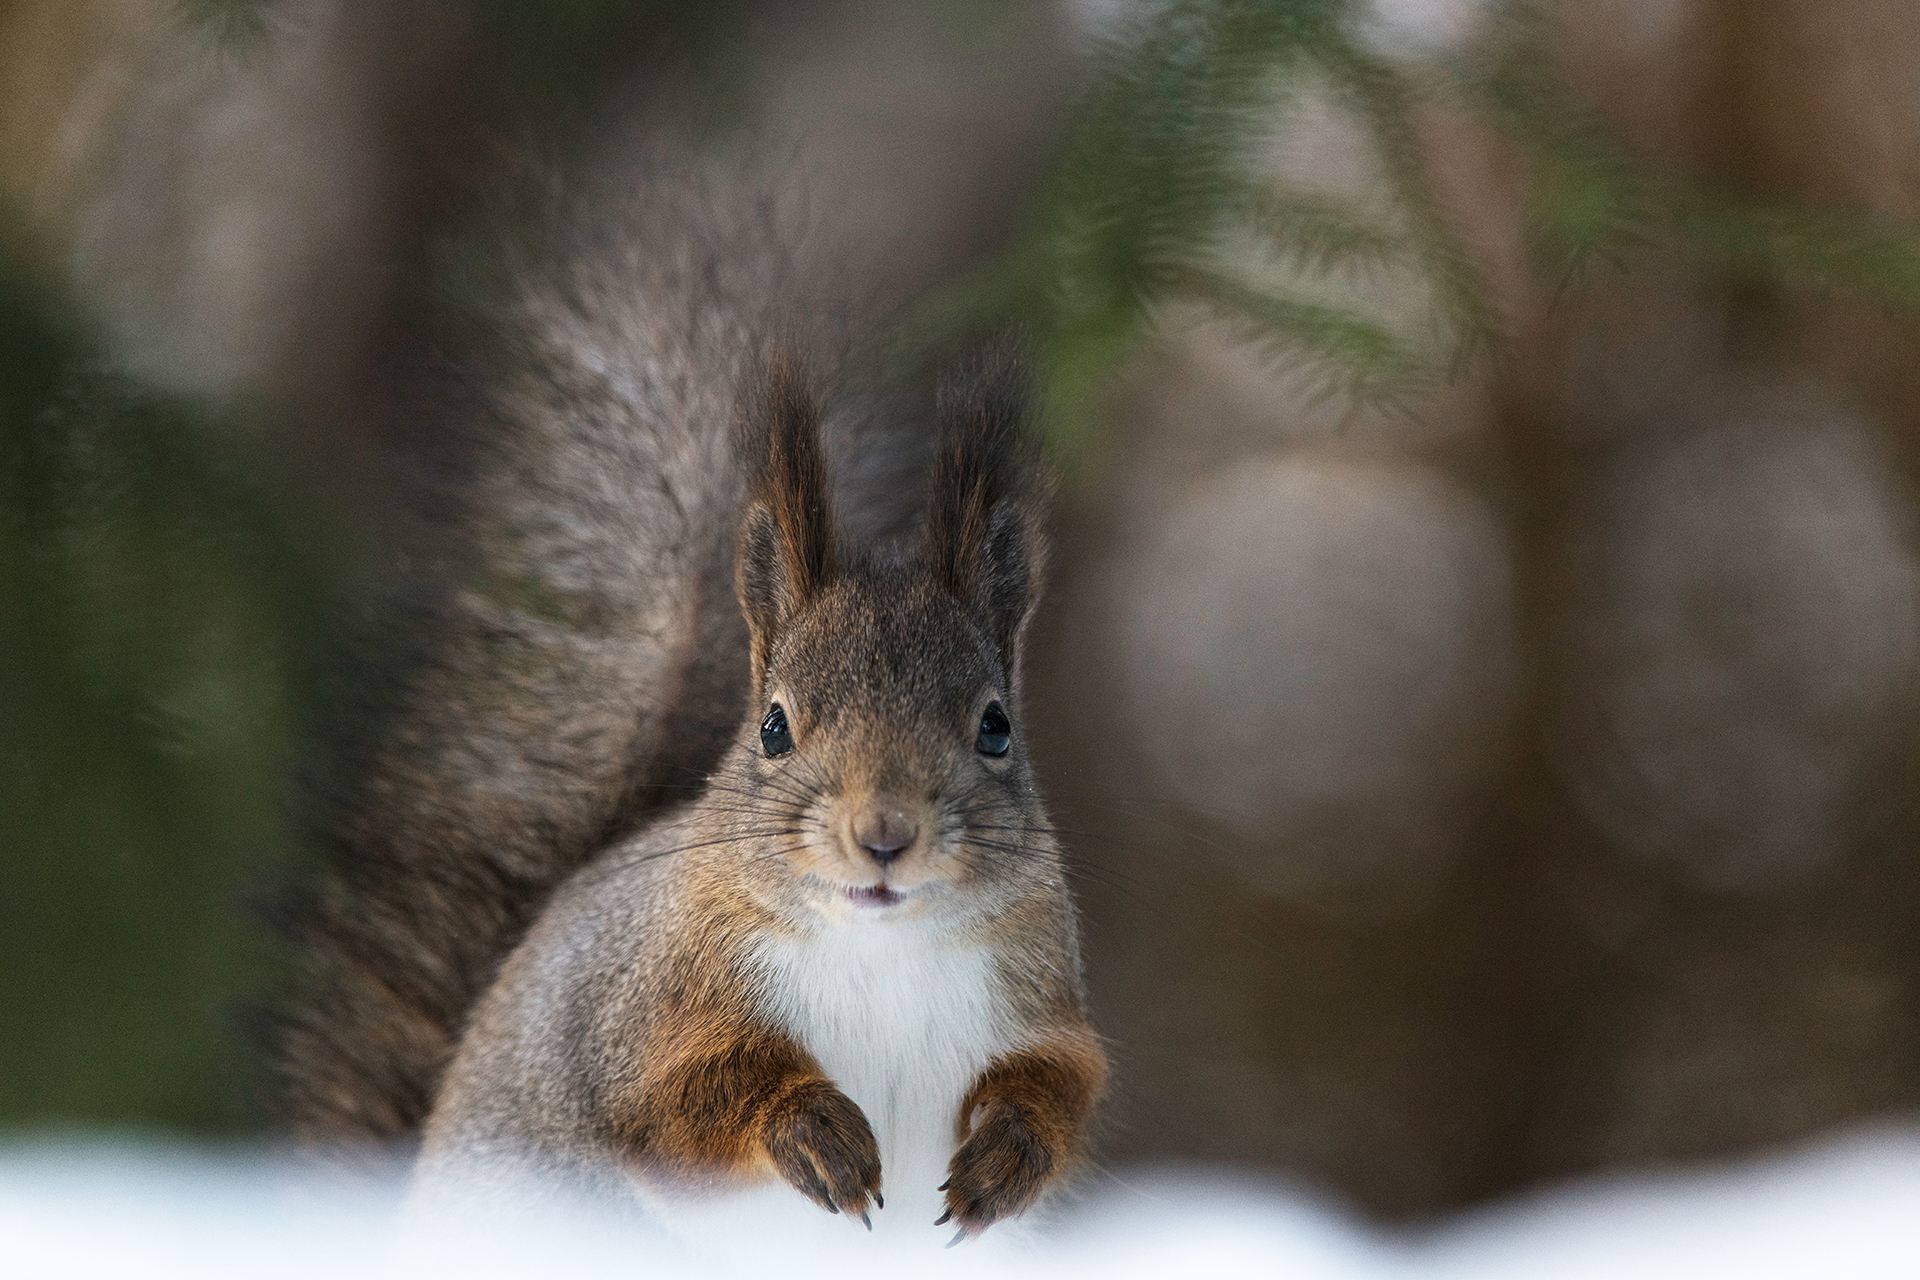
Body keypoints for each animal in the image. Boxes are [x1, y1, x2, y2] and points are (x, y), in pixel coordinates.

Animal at [276, 147, 1105, 1243]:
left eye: (997, 727)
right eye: (775, 727)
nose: (884, 835)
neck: (879, 948)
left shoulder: (1042, 992)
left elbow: (1061, 1082)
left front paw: (1008, 1154)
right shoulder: (642, 1009)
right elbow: (677, 1107)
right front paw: (810, 1130)